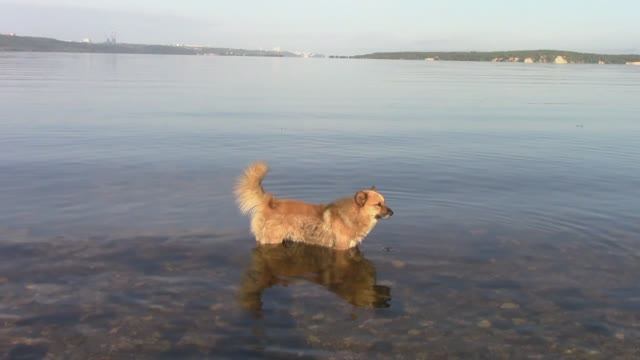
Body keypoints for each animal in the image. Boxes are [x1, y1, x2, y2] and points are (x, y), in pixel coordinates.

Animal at [232, 162, 392, 249]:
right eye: (378, 204)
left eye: (384, 202)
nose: (392, 213)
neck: (354, 215)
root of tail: (270, 203)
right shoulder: (341, 248)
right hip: (272, 240)